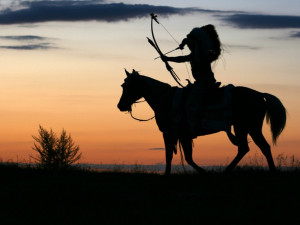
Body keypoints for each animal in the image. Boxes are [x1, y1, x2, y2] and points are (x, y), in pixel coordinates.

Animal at [117, 70, 286, 174]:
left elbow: (174, 157)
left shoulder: (172, 134)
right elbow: (185, 157)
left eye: (127, 86)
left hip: (249, 127)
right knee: (250, 148)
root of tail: (259, 94)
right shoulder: (181, 135)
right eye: (123, 85)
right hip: (244, 127)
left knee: (258, 147)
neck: (167, 100)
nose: (120, 106)